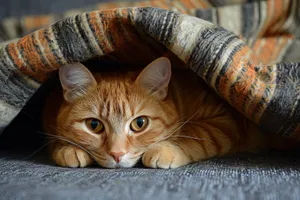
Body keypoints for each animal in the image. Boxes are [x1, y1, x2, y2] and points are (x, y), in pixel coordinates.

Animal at [42, 56, 296, 169]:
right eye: (94, 125)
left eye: (139, 124)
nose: (117, 154)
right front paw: (67, 149)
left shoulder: (225, 120)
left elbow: (194, 132)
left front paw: (165, 149)